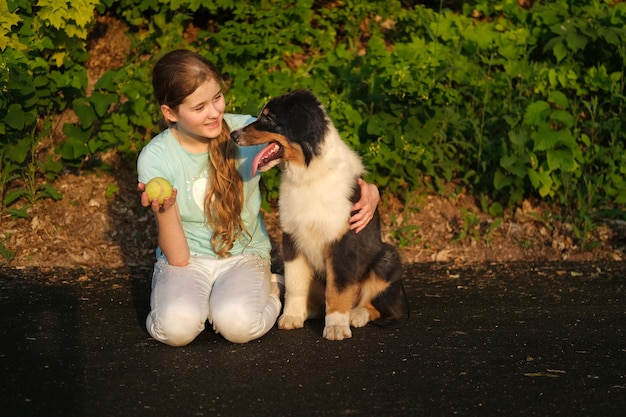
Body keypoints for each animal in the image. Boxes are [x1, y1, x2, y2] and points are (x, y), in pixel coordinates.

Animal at [232, 88, 402, 338]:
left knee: (383, 308)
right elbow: (295, 285)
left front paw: (336, 327)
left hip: (387, 258)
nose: (233, 135)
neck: (308, 174)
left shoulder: (342, 241)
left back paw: (356, 315)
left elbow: (338, 290)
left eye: (269, 118)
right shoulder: (292, 238)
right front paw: (291, 317)